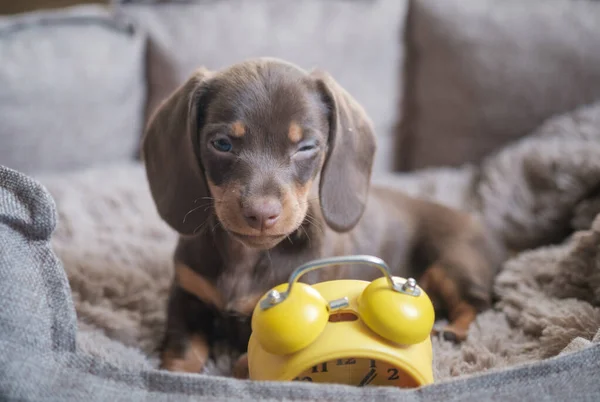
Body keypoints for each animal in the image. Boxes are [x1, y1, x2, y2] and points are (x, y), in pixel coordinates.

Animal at [143, 58, 504, 378]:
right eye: (221, 143)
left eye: (306, 146)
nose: (261, 213)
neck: (247, 258)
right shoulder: (186, 293)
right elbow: (184, 346)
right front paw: (176, 374)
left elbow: (249, 359)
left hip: (453, 264)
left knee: (477, 303)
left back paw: (454, 330)